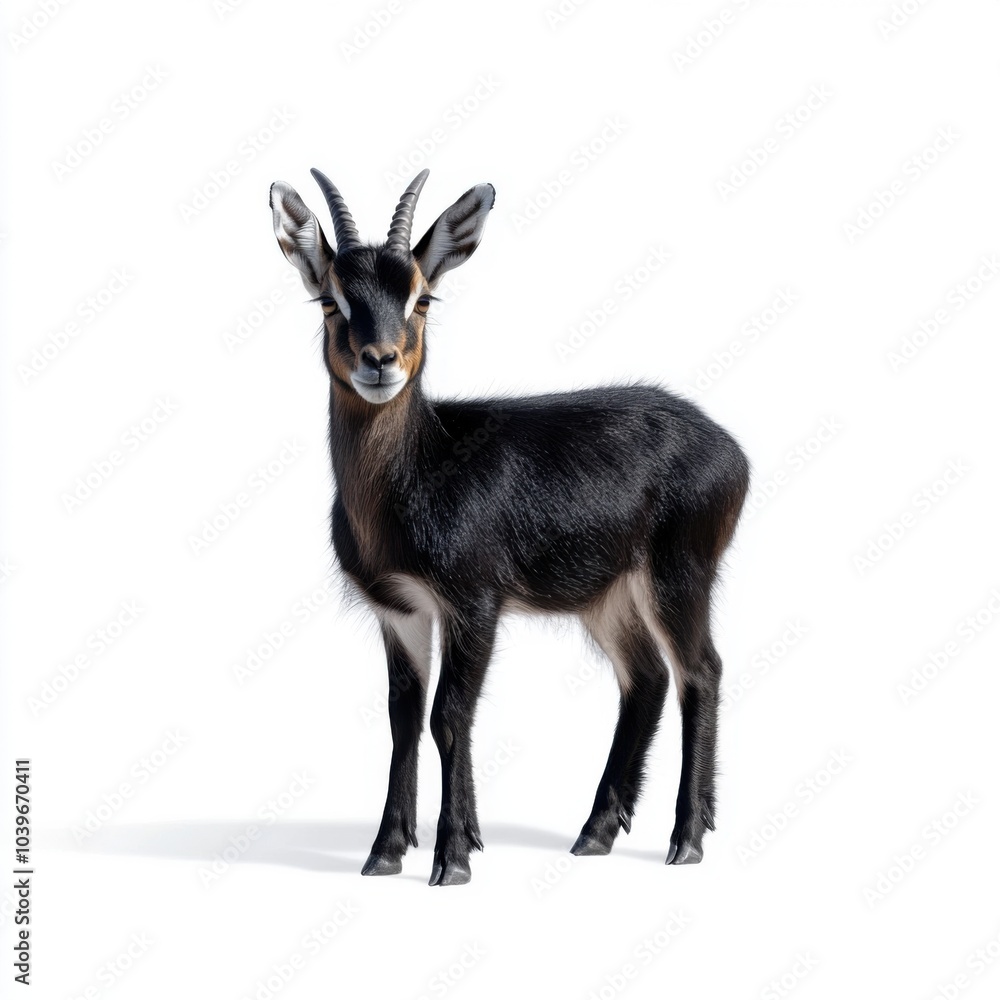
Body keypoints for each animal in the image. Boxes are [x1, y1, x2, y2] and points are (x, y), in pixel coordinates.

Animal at [269, 168, 750, 885]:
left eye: (422, 296)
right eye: (330, 300)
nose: (380, 360)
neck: (421, 473)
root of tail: (732, 449)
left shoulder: (474, 602)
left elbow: (449, 715)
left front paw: (452, 857)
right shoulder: (401, 610)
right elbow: (405, 718)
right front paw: (387, 851)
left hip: (677, 578)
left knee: (701, 671)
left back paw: (685, 840)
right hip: (607, 599)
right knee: (647, 680)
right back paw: (594, 833)